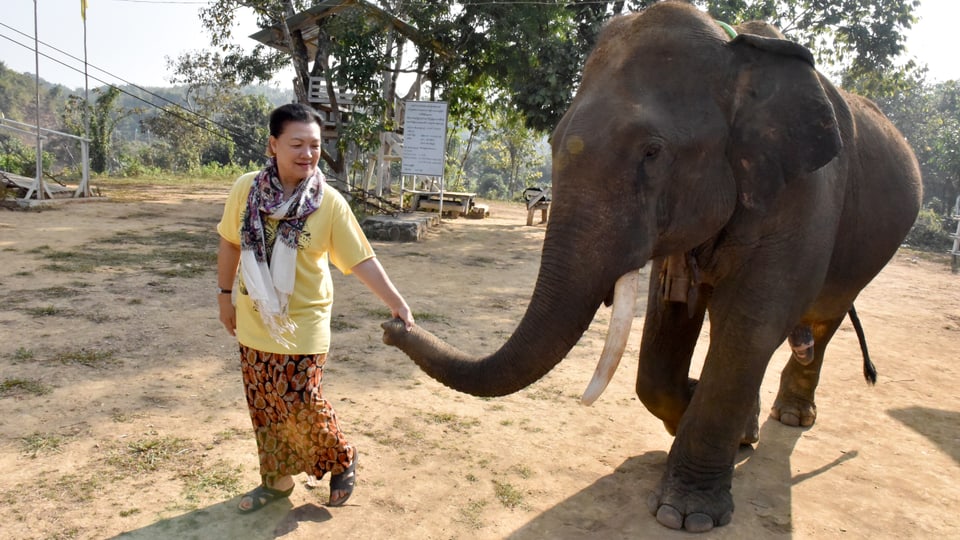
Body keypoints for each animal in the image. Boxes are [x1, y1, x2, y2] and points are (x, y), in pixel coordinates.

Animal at [378, 0, 920, 532]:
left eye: (652, 152)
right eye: (551, 143)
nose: (392, 325)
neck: (735, 49)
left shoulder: (804, 197)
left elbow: (752, 323)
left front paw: (686, 514)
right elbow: (669, 319)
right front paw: (700, 415)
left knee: (820, 320)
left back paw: (791, 417)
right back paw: (752, 429)